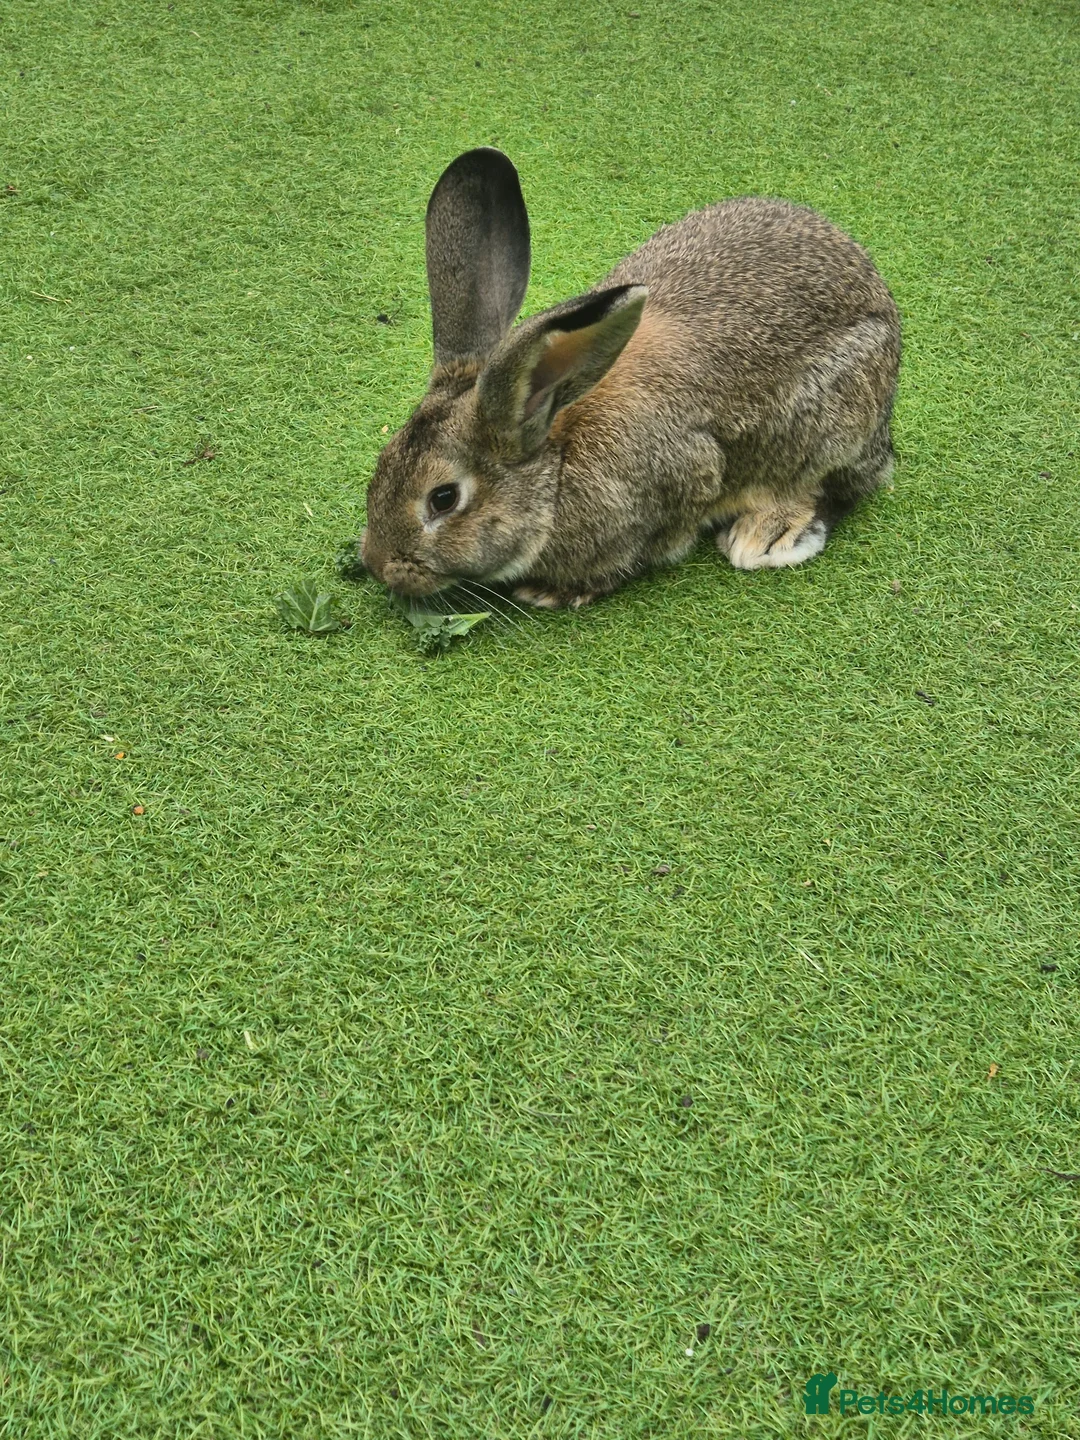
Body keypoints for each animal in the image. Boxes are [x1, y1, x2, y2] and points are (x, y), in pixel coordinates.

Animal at [361, 148, 900, 609]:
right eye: (382, 464)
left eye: (443, 499)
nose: (379, 565)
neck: (555, 462)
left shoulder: (684, 476)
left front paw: (554, 591)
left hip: (829, 422)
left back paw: (766, 536)